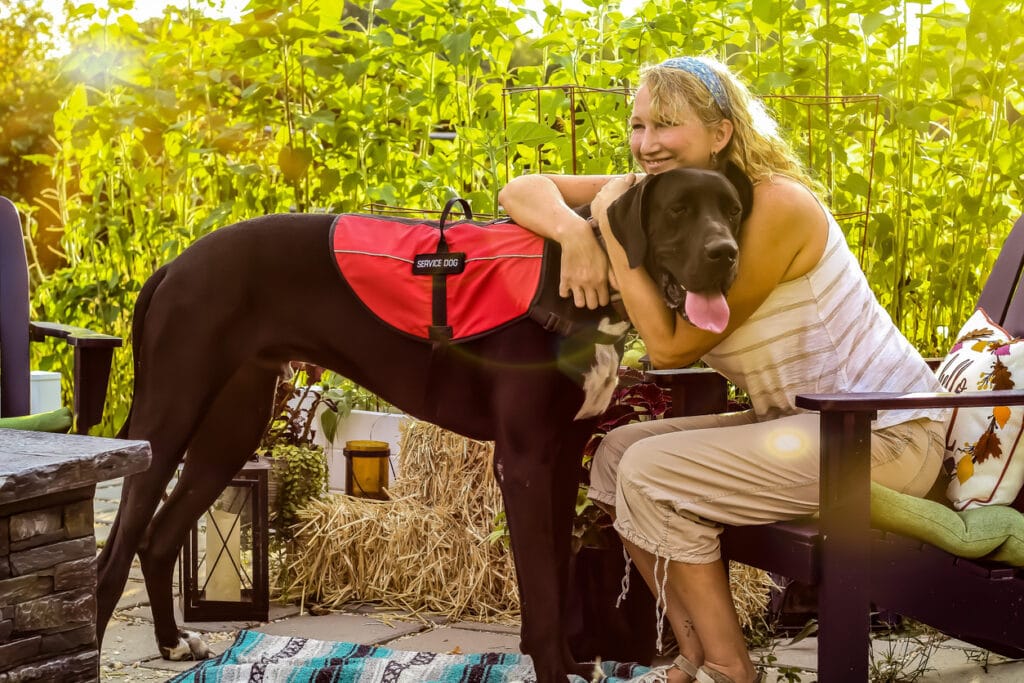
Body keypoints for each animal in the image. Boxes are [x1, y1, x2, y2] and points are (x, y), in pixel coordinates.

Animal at [96, 165, 753, 683]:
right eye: (677, 210)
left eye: (733, 210)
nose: (726, 255)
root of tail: (174, 266)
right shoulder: (523, 460)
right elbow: (541, 589)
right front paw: (550, 669)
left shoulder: (564, 457)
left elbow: (559, 572)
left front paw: (570, 664)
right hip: (168, 417)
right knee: (114, 554)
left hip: (232, 425)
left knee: (158, 538)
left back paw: (172, 642)